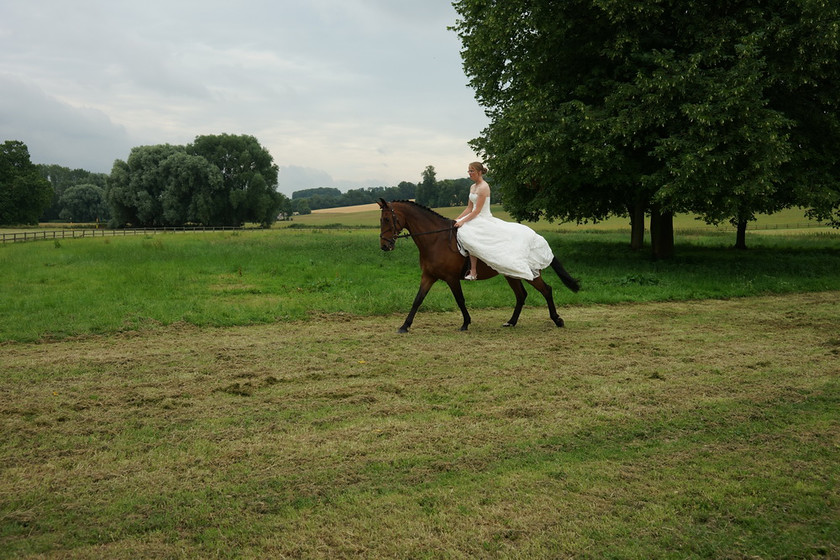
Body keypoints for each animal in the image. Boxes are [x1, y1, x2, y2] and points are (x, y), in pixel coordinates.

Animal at [378, 198, 580, 332]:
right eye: (381, 220)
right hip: (511, 273)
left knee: (546, 290)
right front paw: (405, 326)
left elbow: (460, 300)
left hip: (530, 274)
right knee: (521, 295)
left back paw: (557, 320)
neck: (436, 239)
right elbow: (418, 299)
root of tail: (535, 236)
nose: (384, 246)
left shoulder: (451, 278)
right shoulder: (428, 276)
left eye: (387, 219)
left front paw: (465, 323)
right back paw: (511, 322)